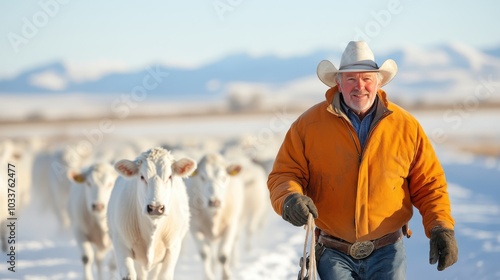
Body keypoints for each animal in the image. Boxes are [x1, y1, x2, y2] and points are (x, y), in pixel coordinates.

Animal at [107, 148, 195, 278]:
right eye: (142, 177)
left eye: (169, 176)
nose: (155, 208)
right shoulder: (121, 244)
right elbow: (129, 275)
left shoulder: (173, 247)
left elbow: (164, 275)